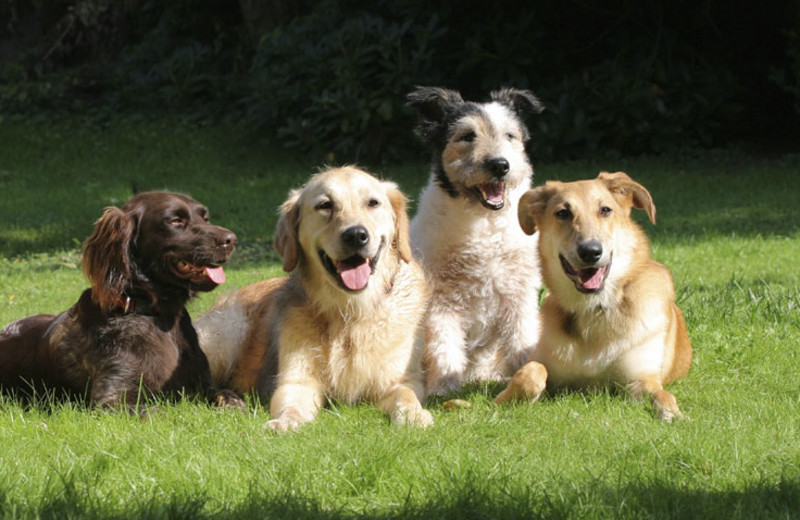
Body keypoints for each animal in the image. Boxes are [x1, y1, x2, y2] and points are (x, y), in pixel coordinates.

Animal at [0, 191, 244, 410]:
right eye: (175, 220)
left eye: (205, 218)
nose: (231, 239)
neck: (157, 315)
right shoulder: (112, 399)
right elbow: (158, 410)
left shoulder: (205, 385)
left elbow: (230, 397)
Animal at [195, 167, 432, 430]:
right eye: (325, 205)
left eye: (373, 203)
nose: (356, 235)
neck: (350, 312)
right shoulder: (296, 381)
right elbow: (292, 405)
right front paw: (285, 422)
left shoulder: (401, 379)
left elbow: (406, 396)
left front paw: (414, 415)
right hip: (228, 332)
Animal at [496, 173, 692, 420]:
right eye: (563, 213)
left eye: (605, 210)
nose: (590, 252)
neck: (595, 308)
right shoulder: (547, 368)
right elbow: (531, 372)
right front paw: (505, 399)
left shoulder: (641, 379)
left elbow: (663, 395)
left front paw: (671, 413)